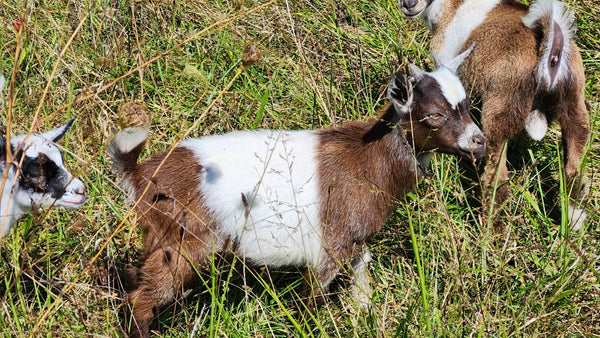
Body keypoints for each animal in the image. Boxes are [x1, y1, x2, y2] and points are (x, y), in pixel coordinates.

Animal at [106, 50, 482, 338]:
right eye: (433, 115)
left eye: (467, 107)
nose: (479, 142)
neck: (367, 159)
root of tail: (138, 173)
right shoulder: (330, 244)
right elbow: (311, 300)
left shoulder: (354, 240)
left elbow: (362, 276)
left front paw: (364, 314)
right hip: (183, 242)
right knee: (144, 297)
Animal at [400, 0, 588, 230]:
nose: (409, 5)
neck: (451, 7)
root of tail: (551, 51)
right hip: (574, 104)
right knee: (574, 169)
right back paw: (574, 223)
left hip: (501, 106)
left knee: (497, 178)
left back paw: (489, 230)